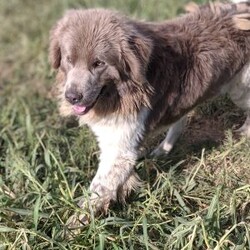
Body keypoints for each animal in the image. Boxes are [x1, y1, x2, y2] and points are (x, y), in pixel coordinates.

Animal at [48, 1, 250, 221]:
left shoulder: (119, 149)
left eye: (99, 63)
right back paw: (163, 149)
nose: (72, 97)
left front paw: (76, 223)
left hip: (240, 89)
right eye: (69, 59)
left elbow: (99, 188)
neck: (119, 91)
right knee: (180, 120)